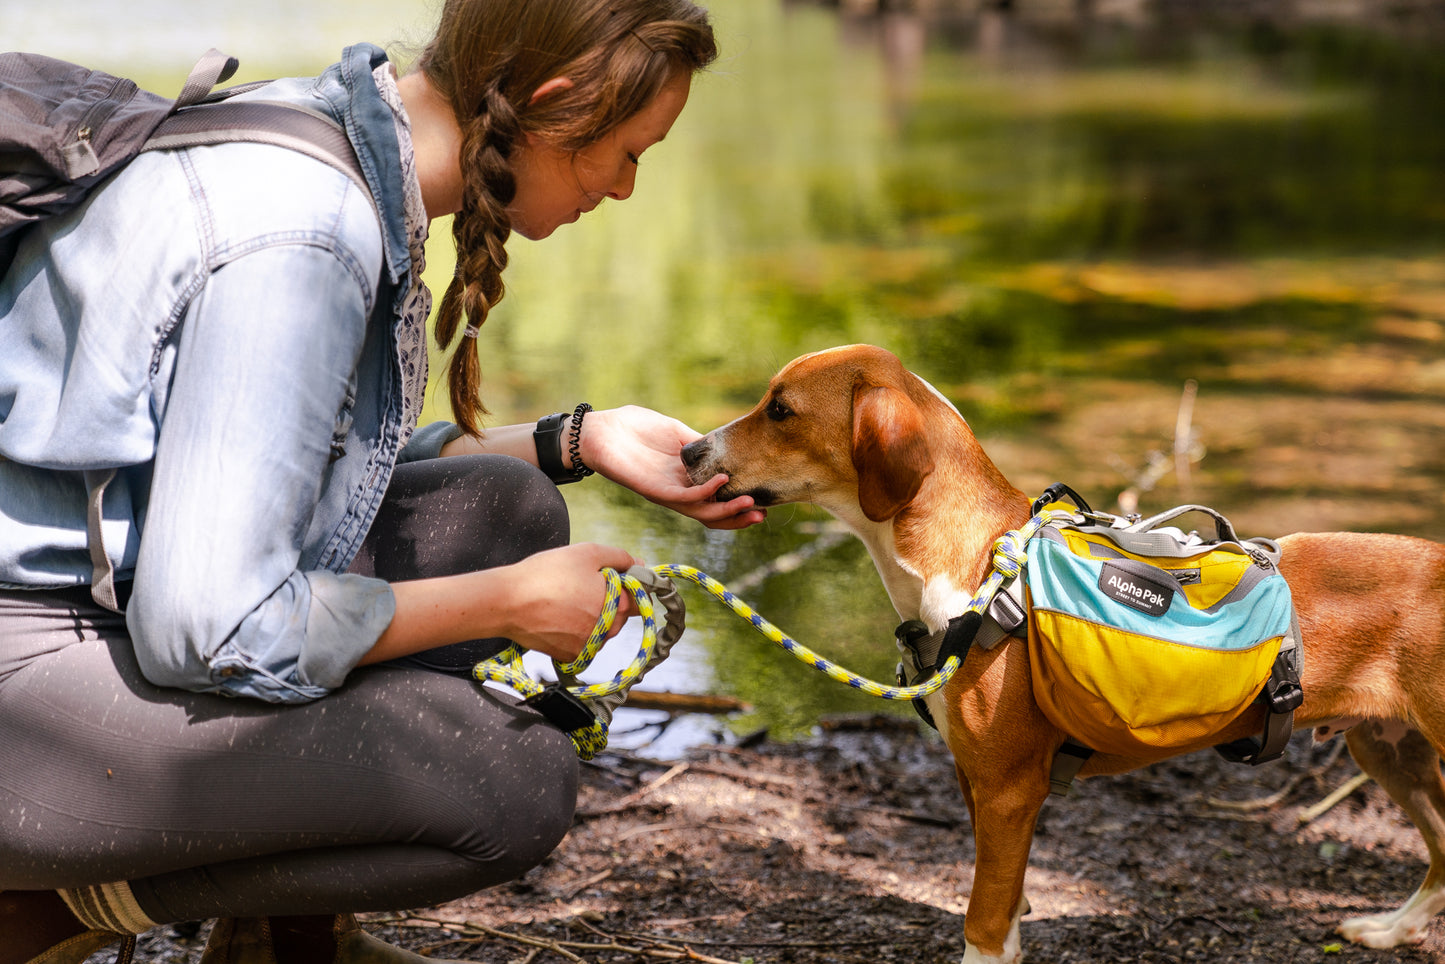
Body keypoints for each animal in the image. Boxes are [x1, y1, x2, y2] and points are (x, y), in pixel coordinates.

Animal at [682, 346, 1445, 964]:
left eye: (780, 410)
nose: (689, 453)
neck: (974, 569)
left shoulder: (1007, 788)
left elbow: (984, 920)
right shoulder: (978, 780)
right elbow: (1007, 898)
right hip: (1386, 749)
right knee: (1442, 851)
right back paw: (1391, 929)